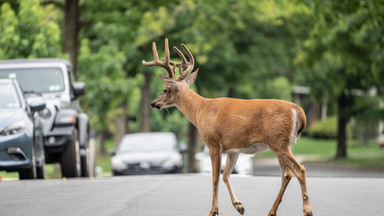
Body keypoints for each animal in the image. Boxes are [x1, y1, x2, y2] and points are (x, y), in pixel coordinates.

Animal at [142, 38, 314, 216]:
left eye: (165, 89)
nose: (153, 103)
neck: (200, 110)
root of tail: (299, 112)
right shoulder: (234, 148)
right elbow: (225, 175)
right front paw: (239, 205)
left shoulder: (213, 143)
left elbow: (215, 177)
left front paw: (213, 211)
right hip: (282, 143)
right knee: (286, 174)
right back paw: (272, 211)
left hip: (278, 142)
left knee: (299, 169)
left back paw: (307, 210)